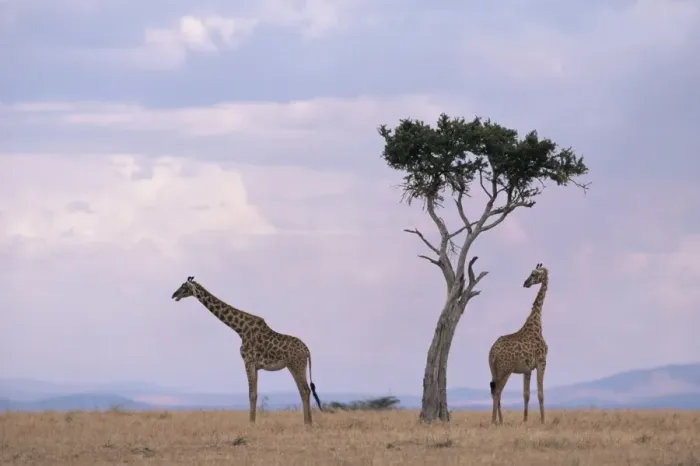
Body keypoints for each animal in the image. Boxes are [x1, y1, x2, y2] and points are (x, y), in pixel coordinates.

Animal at [171, 276, 323, 425]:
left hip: (296, 365)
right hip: (297, 366)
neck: (240, 329)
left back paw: (307, 423)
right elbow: (254, 393)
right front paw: (252, 422)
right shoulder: (255, 365)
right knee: (305, 390)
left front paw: (251, 424)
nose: (173, 295)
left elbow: (251, 394)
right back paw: (308, 422)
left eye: (184, 287)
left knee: (304, 390)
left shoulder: (248, 361)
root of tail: (307, 350)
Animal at [488, 263, 549, 425]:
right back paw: (494, 421)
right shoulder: (542, 362)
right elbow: (541, 393)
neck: (536, 322)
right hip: (505, 369)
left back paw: (500, 420)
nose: (525, 283)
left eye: (534, 274)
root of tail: (492, 353)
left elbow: (526, 394)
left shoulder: (527, 369)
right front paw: (543, 421)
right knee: (497, 391)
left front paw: (525, 420)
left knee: (495, 391)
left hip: (494, 370)